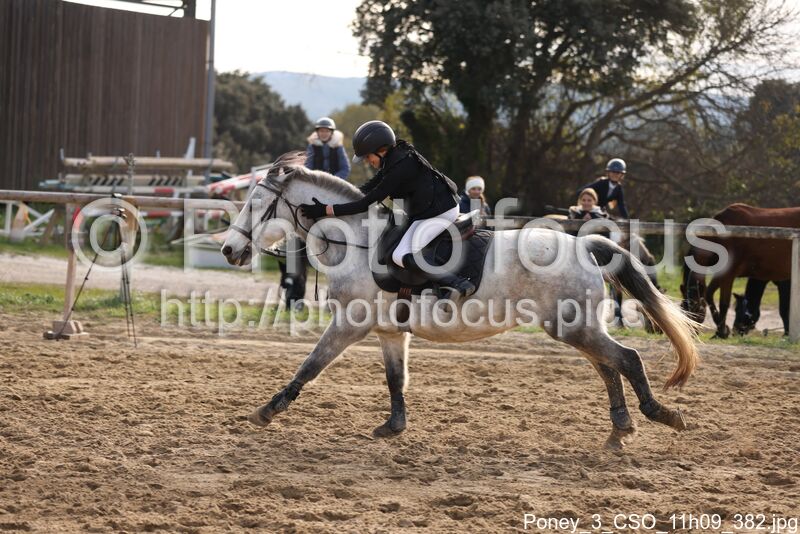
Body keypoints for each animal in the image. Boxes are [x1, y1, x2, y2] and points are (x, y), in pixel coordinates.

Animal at [221, 153, 700, 449]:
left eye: (256, 205)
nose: (229, 250)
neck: (358, 243)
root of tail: (585, 244)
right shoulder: (390, 333)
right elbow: (396, 381)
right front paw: (393, 426)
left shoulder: (348, 327)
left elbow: (310, 366)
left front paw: (267, 411)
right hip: (577, 326)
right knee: (608, 366)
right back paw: (620, 428)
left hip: (572, 326)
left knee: (626, 359)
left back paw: (661, 415)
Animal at [682, 203, 799, 338]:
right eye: (683, 307)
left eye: (694, 308)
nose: (690, 333)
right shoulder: (722, 275)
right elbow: (710, 295)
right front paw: (721, 329)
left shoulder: (728, 275)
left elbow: (723, 303)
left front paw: (722, 331)